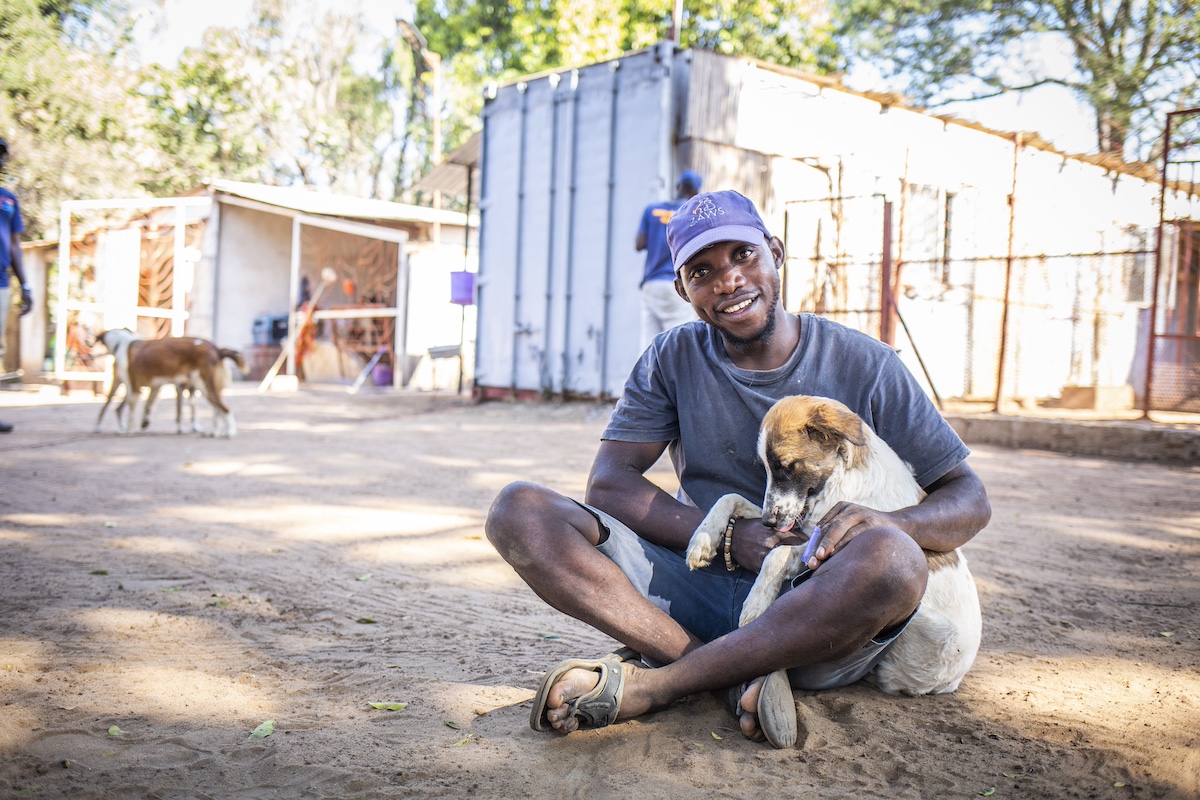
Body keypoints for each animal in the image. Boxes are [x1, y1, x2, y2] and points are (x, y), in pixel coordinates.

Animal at [93, 331, 246, 438]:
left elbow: (132, 413)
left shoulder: (135, 389)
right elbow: (148, 406)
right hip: (206, 387)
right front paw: (143, 423)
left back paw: (229, 433)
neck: (120, 344)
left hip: (204, 385)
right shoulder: (154, 386)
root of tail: (217, 349)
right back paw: (214, 433)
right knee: (217, 410)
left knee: (225, 409)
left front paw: (128, 431)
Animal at [691, 398, 979, 695]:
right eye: (767, 469)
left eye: (786, 466)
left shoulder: (824, 542)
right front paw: (701, 542)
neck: (839, 478)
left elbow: (775, 554)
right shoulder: (795, 523)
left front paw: (756, 604)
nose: (768, 522)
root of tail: (953, 682)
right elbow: (729, 497)